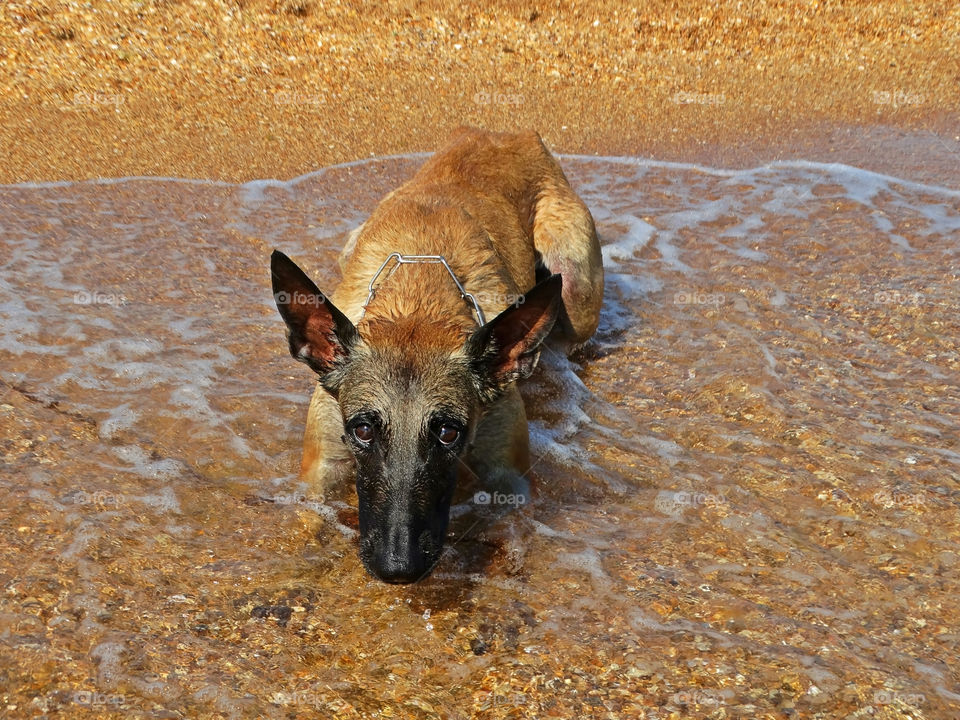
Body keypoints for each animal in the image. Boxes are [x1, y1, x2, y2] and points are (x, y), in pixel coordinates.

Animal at [270, 126, 600, 584]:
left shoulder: (509, 477)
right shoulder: (321, 468)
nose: (397, 569)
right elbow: (307, 523)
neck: (418, 306)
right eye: (363, 430)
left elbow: (511, 535)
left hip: (574, 286)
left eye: (448, 432)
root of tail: (509, 135)